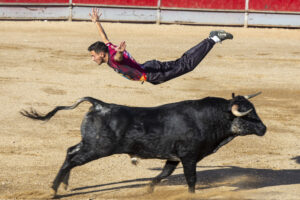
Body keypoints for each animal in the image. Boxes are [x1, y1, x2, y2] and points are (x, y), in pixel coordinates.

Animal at [19, 92, 266, 195]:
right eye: (249, 116)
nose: (264, 129)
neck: (210, 118)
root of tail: (99, 104)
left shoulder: (173, 157)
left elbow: (164, 174)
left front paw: (149, 188)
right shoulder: (189, 157)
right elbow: (191, 179)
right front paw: (191, 194)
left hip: (89, 144)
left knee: (70, 152)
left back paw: (63, 185)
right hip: (97, 148)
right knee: (72, 159)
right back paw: (54, 189)